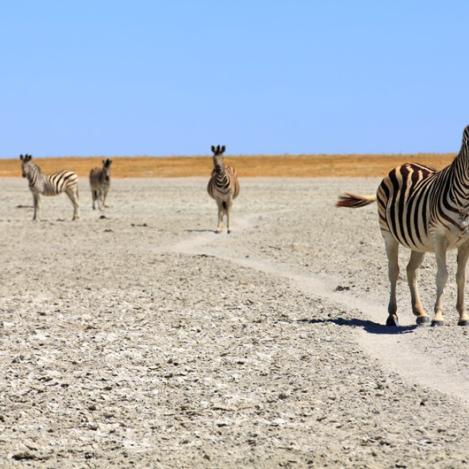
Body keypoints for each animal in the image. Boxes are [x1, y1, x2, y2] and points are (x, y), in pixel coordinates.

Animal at [334, 126, 468, 328]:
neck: (464, 200)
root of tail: (402, 165)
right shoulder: (439, 237)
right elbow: (442, 275)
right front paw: (438, 317)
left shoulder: (466, 241)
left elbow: (461, 278)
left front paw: (463, 316)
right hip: (388, 235)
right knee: (394, 271)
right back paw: (392, 315)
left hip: (419, 241)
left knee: (410, 270)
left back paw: (420, 313)